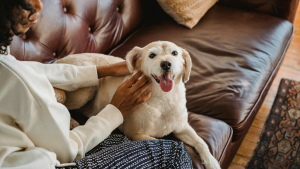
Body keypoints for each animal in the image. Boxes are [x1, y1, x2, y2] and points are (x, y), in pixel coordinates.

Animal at [55, 41, 220, 169]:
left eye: (175, 53)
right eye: (152, 55)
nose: (166, 64)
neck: (163, 99)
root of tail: (59, 61)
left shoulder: (182, 127)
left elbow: (201, 142)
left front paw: (212, 162)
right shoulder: (135, 133)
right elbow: (160, 141)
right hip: (85, 90)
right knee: (64, 104)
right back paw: (71, 122)